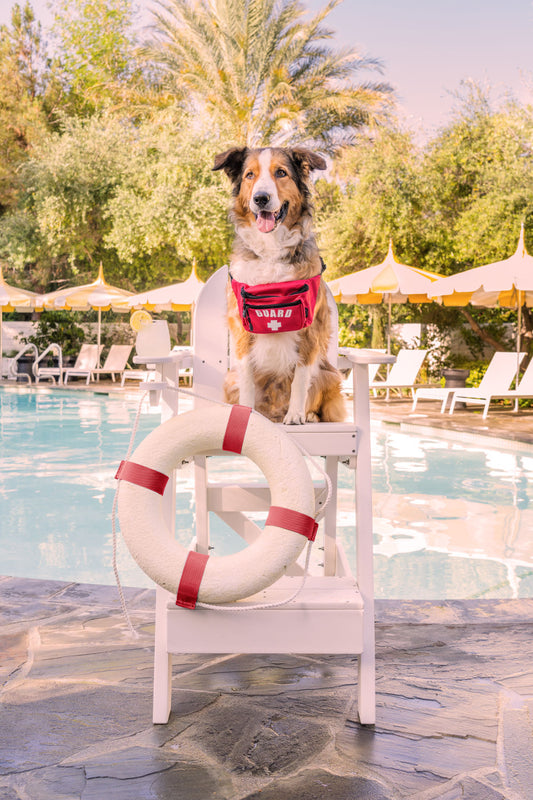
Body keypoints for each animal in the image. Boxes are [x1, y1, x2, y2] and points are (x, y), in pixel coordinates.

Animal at [214, 148, 348, 428]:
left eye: (281, 173)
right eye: (250, 175)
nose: (261, 198)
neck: (271, 251)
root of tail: (273, 413)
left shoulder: (310, 330)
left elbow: (300, 379)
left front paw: (296, 415)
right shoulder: (242, 329)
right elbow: (247, 381)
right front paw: (245, 413)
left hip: (329, 375)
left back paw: (308, 415)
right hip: (230, 377)